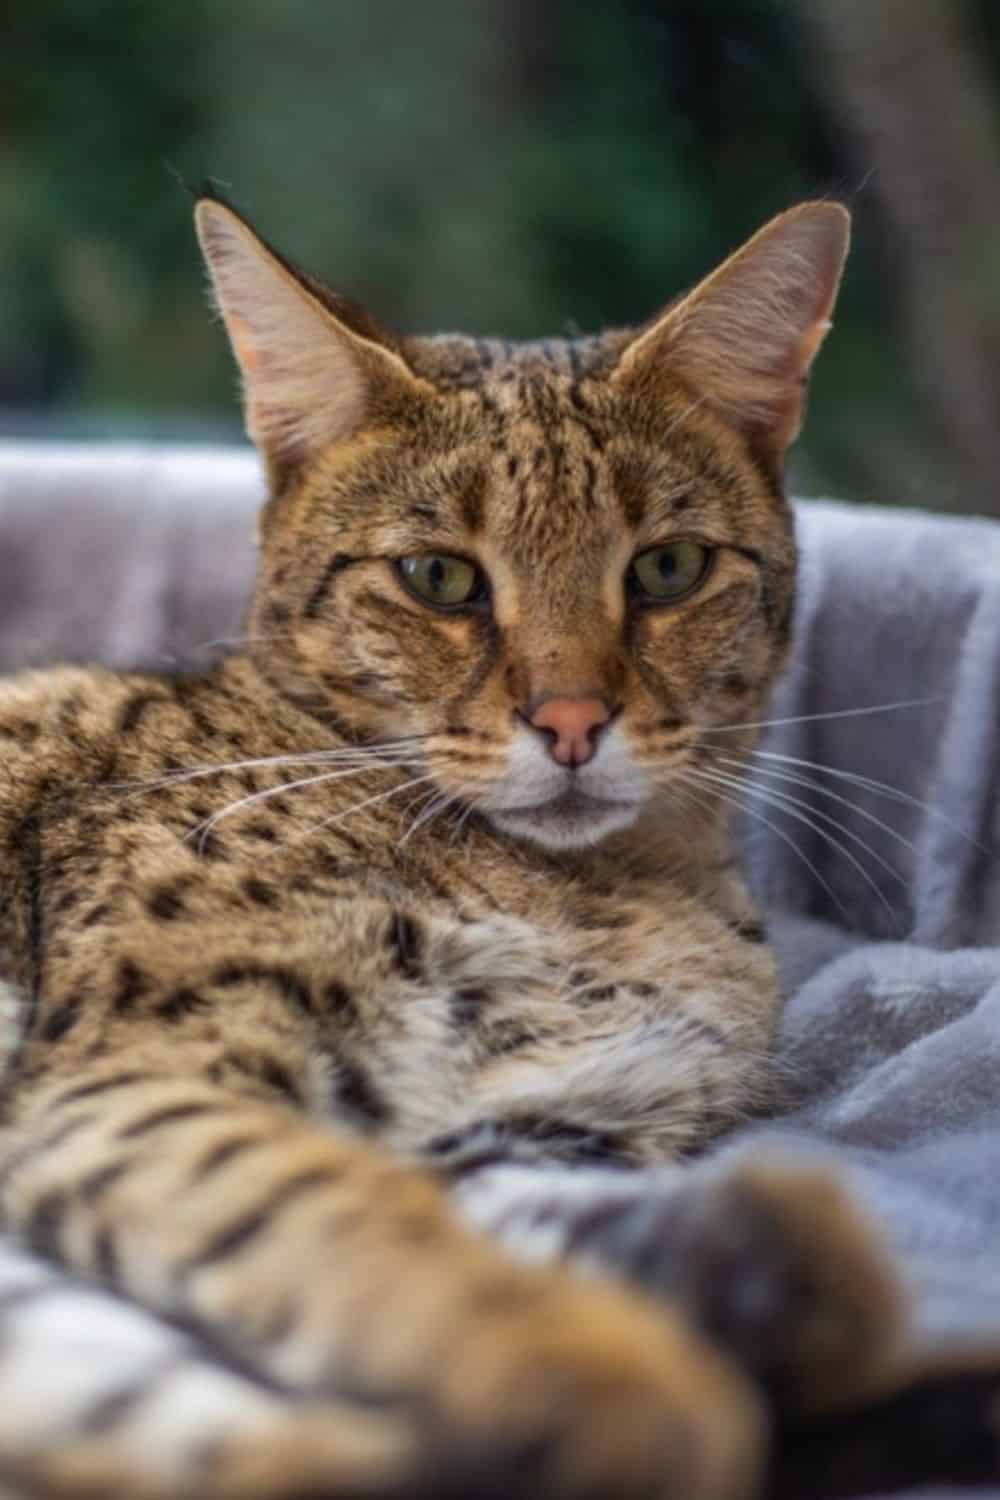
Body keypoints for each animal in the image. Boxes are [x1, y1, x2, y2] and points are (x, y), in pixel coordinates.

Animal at [0, 199, 911, 1500]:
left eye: (667, 567)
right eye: (438, 578)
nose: (572, 721)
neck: (601, 889)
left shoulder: (551, 1127)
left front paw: (784, 1283)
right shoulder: (137, 1076)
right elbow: (362, 1222)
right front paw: (625, 1387)